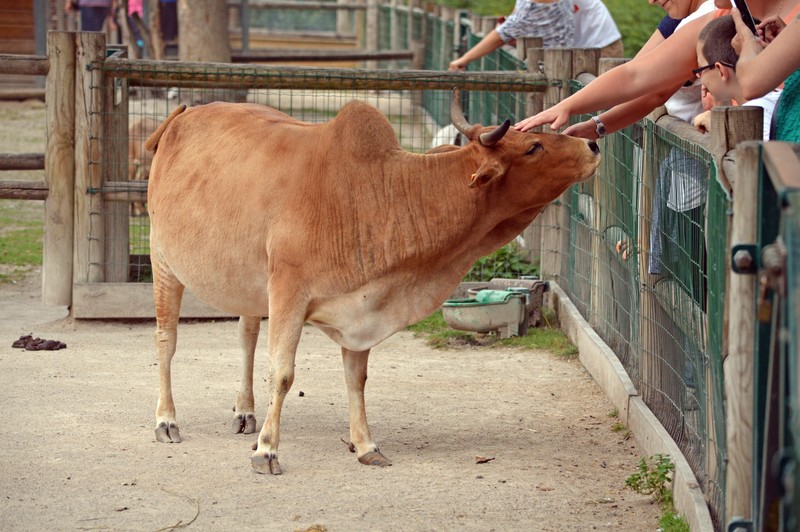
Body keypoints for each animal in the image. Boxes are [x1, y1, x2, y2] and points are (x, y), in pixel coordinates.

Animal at [147, 89, 596, 476]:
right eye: (533, 147)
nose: (591, 145)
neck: (376, 194)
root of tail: (183, 115)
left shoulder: (361, 306)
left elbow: (355, 379)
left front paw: (365, 446)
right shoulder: (289, 291)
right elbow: (283, 373)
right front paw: (267, 451)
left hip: (250, 284)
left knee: (246, 336)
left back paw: (244, 411)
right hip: (162, 259)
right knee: (167, 341)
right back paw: (166, 420)